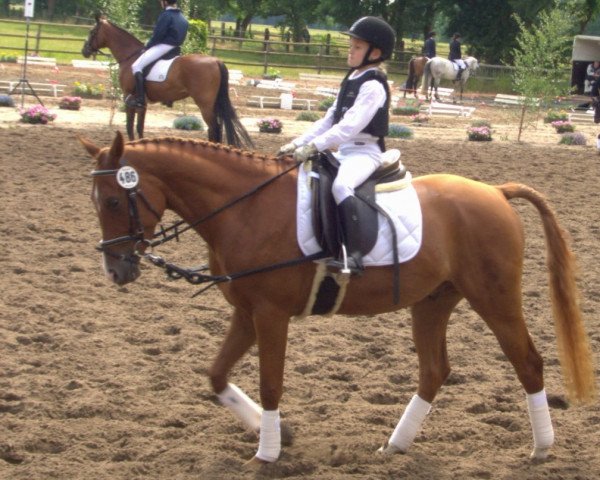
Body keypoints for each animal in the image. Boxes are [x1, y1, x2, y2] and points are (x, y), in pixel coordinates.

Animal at [82, 15, 251, 146]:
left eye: (92, 32)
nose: (84, 51)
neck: (130, 57)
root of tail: (216, 60)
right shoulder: (142, 104)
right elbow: (139, 127)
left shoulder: (128, 98)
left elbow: (130, 126)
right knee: (217, 127)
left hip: (205, 104)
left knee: (214, 128)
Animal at [82, 130, 596, 464]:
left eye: (113, 200)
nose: (115, 269)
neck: (245, 209)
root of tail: (496, 191)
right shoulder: (246, 314)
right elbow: (216, 376)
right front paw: (276, 433)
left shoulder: (270, 315)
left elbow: (270, 383)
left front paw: (266, 455)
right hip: (433, 302)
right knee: (434, 371)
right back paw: (395, 446)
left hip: (495, 298)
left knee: (527, 362)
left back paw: (541, 449)